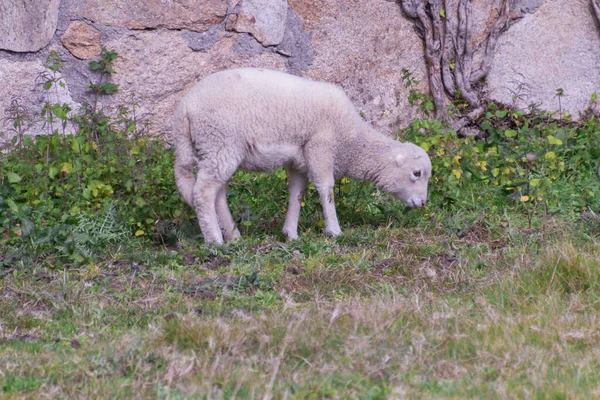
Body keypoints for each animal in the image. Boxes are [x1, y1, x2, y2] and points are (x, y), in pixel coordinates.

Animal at [173, 68, 432, 244]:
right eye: (416, 173)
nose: (422, 204)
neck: (350, 139)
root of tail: (184, 109)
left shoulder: (299, 159)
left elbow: (297, 193)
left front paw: (290, 234)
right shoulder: (320, 146)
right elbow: (326, 188)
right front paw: (334, 230)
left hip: (219, 149)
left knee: (218, 193)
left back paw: (233, 235)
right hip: (219, 141)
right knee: (203, 192)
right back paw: (214, 240)